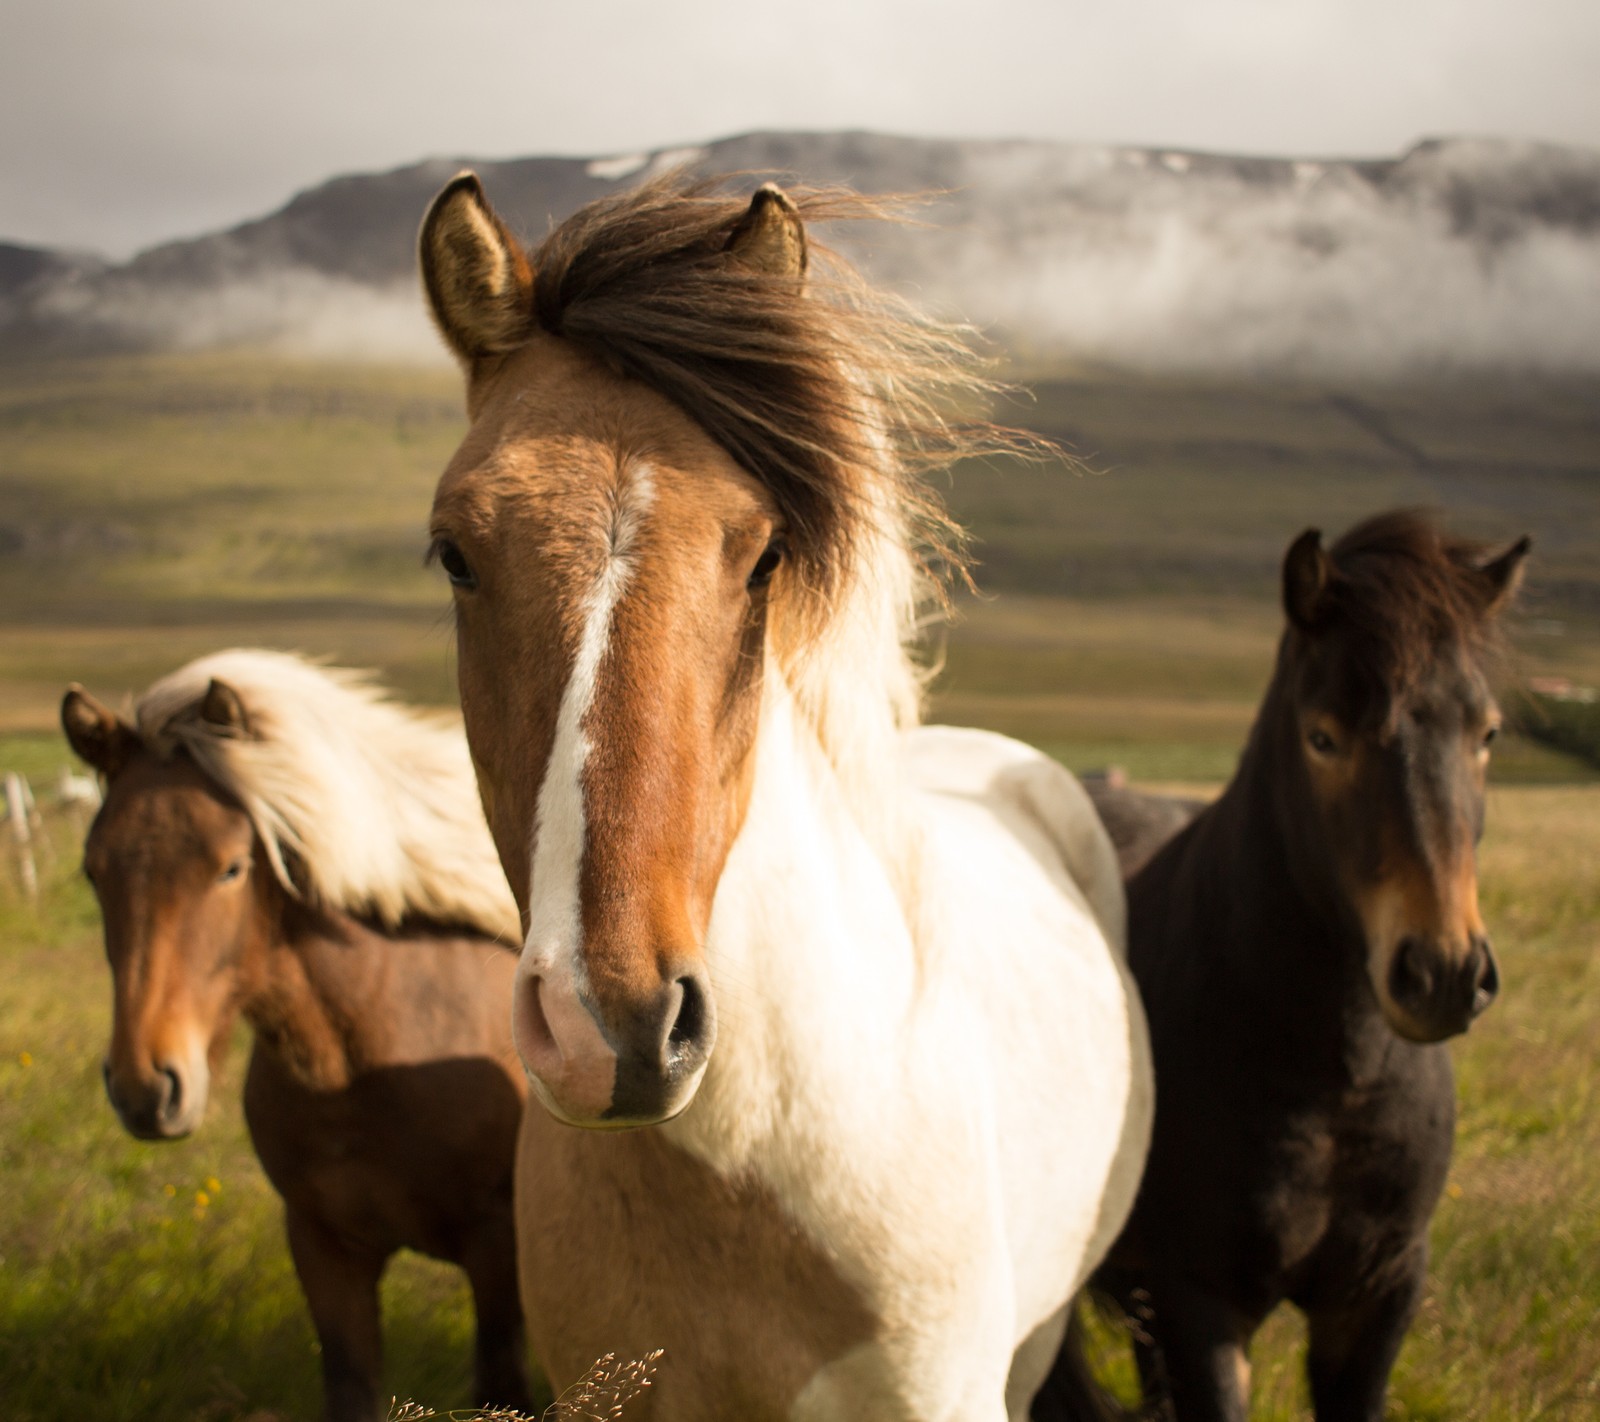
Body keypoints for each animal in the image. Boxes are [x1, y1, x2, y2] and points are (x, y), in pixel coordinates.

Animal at [62, 649, 531, 1420]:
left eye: (231, 867)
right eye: (94, 869)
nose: (145, 1087)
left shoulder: (497, 1249)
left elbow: (503, 1386)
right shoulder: (322, 1248)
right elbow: (351, 1385)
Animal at [1036, 511, 1523, 1420]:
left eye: (1488, 733)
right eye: (1322, 736)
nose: (1441, 973)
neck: (1337, 1080)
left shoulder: (1376, 1300)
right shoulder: (1203, 1304)